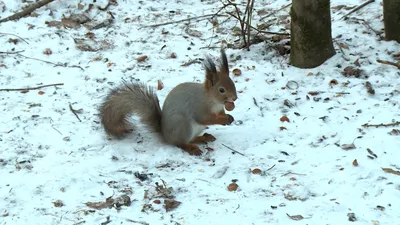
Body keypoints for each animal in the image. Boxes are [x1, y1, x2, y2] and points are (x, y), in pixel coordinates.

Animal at [99, 48, 238, 156]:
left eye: (233, 83)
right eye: (221, 90)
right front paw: (223, 120)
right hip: (183, 126)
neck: (213, 100)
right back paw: (192, 148)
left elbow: (221, 113)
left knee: (191, 139)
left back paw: (204, 137)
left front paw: (228, 117)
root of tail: (165, 136)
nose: (235, 98)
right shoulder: (199, 107)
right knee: (180, 143)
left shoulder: (219, 108)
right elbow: (206, 118)